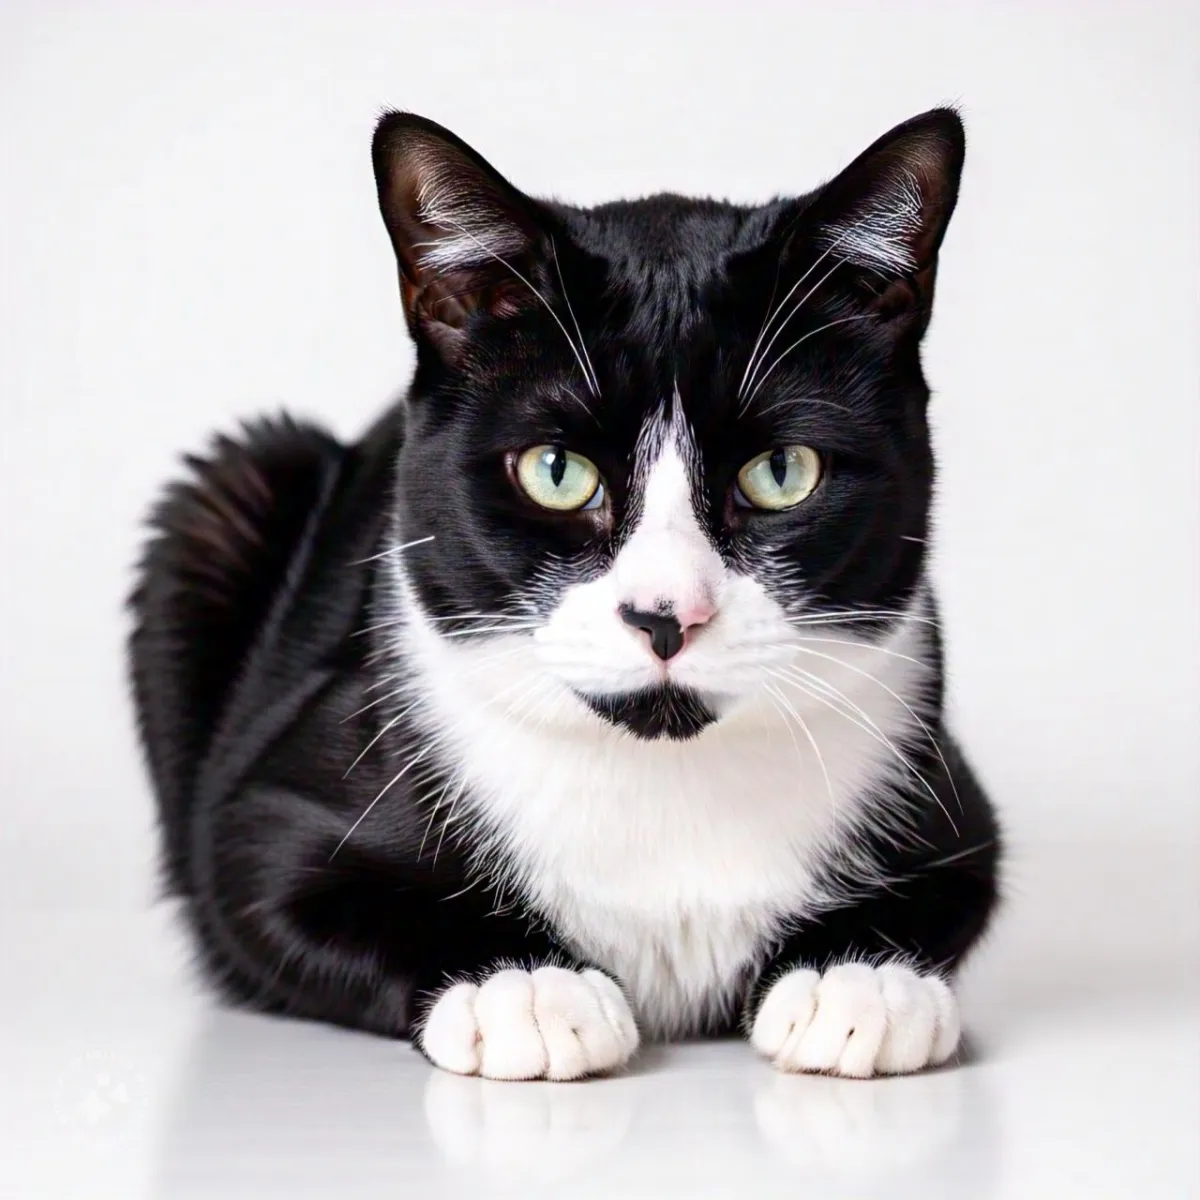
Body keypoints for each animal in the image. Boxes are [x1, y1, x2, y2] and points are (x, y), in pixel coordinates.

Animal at [129, 108, 1003, 1084]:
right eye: (556, 471)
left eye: (783, 472)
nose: (667, 614)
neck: (663, 781)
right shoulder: (263, 817)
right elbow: (270, 882)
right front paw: (523, 987)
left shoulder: (949, 797)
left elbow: (951, 886)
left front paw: (858, 982)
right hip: (230, 491)